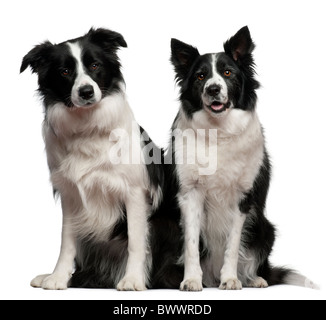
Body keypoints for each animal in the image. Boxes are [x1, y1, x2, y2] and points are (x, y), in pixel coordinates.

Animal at [21, 28, 162, 292]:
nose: (85, 91)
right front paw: (57, 277)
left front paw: (133, 279)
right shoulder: (70, 194)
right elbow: (67, 241)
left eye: (95, 65)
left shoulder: (135, 192)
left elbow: (136, 241)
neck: (88, 127)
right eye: (65, 71)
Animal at [166, 25, 318, 290]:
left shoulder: (242, 198)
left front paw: (230, 279)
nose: (213, 89)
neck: (218, 132)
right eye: (200, 76)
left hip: (265, 229)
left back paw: (253, 279)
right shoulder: (190, 193)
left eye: (227, 72)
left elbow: (233, 244)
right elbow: (192, 244)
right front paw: (192, 280)